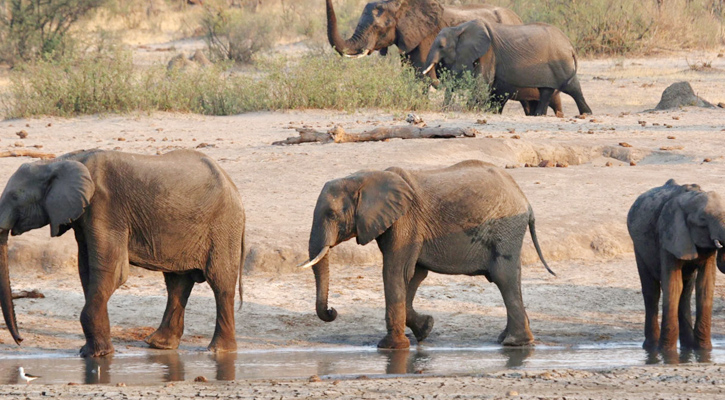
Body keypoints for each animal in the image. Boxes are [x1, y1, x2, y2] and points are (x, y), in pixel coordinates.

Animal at [0, 149, 246, 356]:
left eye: (14, 197)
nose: (20, 340)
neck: (59, 161)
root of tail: (233, 186)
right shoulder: (85, 216)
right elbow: (87, 270)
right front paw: (92, 352)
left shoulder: (105, 208)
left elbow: (113, 271)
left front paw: (96, 355)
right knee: (177, 283)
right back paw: (159, 345)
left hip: (223, 226)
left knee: (220, 283)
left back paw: (218, 350)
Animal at [296, 161, 552, 348]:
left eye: (331, 214)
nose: (332, 311)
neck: (365, 178)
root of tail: (526, 201)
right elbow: (414, 275)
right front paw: (426, 328)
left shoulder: (405, 221)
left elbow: (396, 271)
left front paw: (390, 347)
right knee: (509, 278)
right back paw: (507, 339)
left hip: (505, 229)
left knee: (503, 277)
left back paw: (514, 343)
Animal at [422, 20, 592, 116]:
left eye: (441, 46)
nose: (444, 109)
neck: (458, 29)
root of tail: (569, 45)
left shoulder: (489, 52)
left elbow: (483, 81)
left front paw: (471, 109)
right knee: (546, 90)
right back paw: (538, 115)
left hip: (561, 62)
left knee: (572, 87)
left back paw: (587, 113)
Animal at [624, 180, 724, 352]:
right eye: (702, 219)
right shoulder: (668, 235)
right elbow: (672, 285)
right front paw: (667, 353)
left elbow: (705, 286)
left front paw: (704, 351)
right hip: (638, 247)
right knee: (652, 292)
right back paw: (651, 347)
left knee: (686, 291)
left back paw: (688, 347)